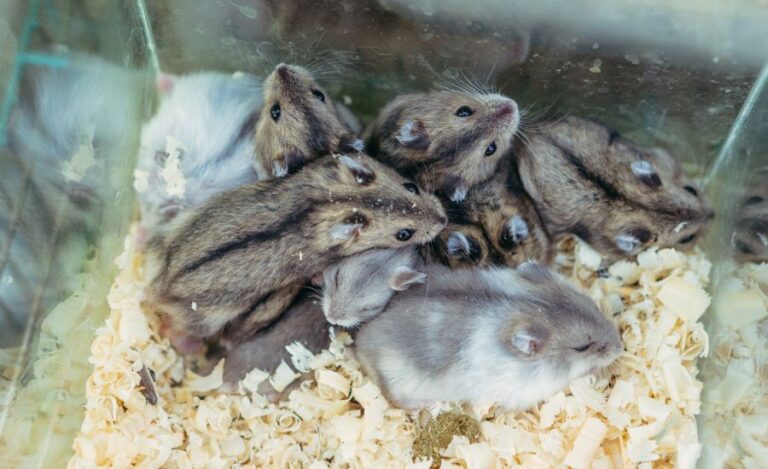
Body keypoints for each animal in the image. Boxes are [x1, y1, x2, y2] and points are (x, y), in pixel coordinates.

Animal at [145, 153, 447, 345]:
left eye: (412, 186)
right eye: (404, 234)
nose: (444, 220)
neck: (334, 203)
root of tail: (159, 289)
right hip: (207, 319)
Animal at [354, 261, 623, 410]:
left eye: (592, 304)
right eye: (582, 347)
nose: (621, 347)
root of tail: (360, 343)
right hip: (400, 381)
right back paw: (429, 406)